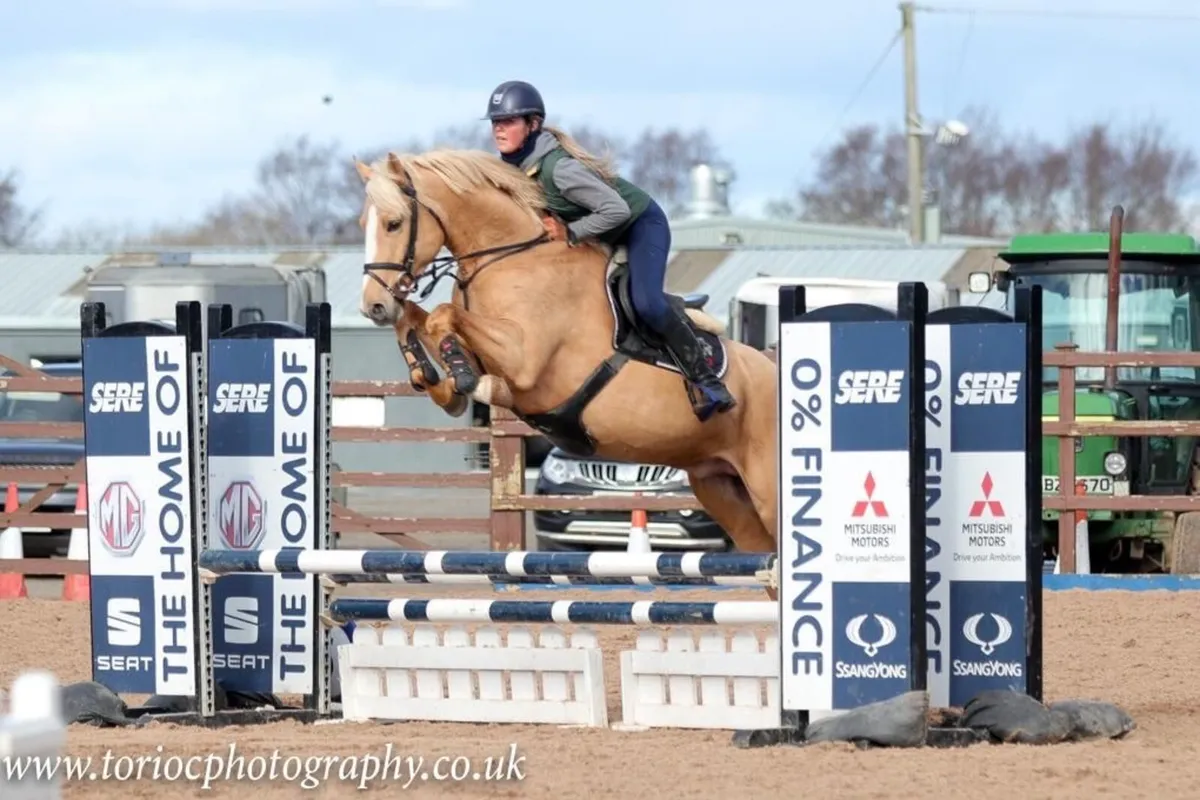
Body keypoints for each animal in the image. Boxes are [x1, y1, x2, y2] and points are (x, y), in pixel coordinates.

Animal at [353, 149, 780, 583]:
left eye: (394, 223)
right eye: (363, 225)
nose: (373, 306)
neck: (507, 257)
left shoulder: (523, 357)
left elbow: (442, 315)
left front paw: (471, 382)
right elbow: (421, 319)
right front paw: (438, 381)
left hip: (767, 491)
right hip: (723, 491)